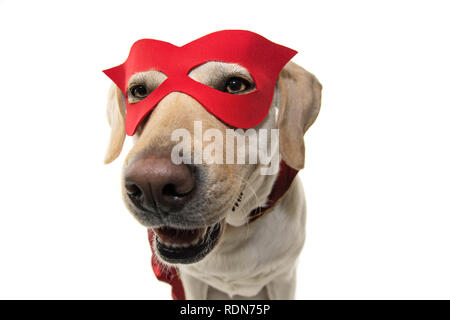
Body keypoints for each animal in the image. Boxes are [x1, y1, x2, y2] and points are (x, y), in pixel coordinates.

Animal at [103, 58, 322, 300]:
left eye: (235, 86)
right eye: (139, 91)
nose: (152, 184)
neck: (232, 236)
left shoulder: (284, 277)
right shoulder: (192, 280)